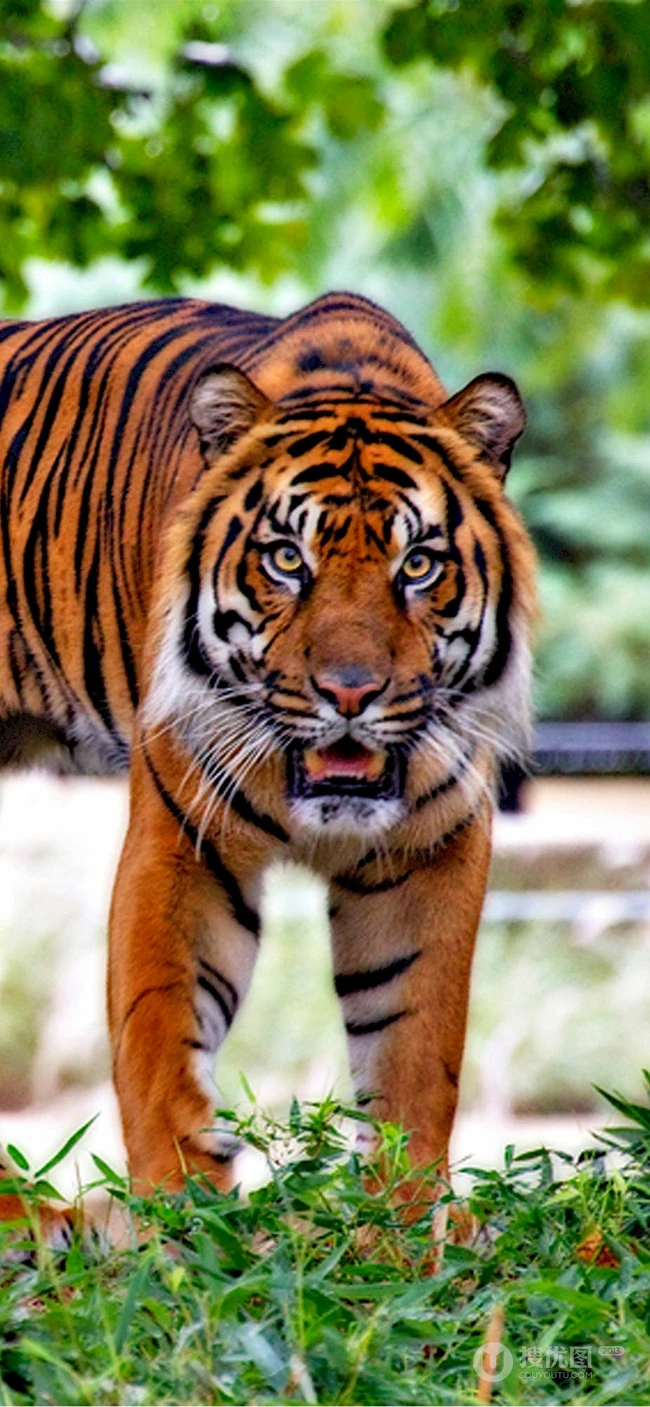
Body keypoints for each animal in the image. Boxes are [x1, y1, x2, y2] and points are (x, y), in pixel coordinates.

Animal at [0, 290, 536, 1242]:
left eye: (417, 564)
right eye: (288, 558)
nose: (350, 692)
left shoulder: (430, 848)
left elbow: (414, 1042)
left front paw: (402, 1228)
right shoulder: (183, 838)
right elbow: (162, 1029)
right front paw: (183, 1221)